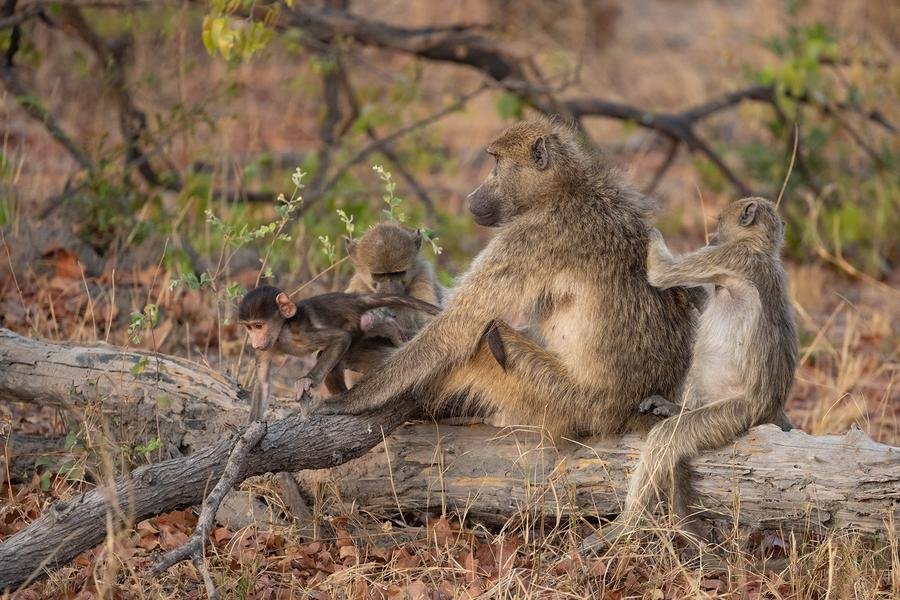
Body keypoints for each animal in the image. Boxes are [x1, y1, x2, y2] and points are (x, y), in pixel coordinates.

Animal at [238, 285, 441, 421]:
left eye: (259, 326)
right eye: (249, 328)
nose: (255, 342)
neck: (281, 332)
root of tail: (352, 299)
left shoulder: (300, 333)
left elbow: (341, 338)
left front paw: (306, 381)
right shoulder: (266, 349)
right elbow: (263, 383)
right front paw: (251, 427)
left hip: (353, 321)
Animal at [313, 118, 699, 442]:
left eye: (495, 164)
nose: (471, 197)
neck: (566, 189)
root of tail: (628, 412)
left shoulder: (527, 237)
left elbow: (458, 326)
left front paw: (353, 398)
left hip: (568, 401)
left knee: (486, 341)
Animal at [582, 197, 798, 552]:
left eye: (719, 223)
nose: (711, 238)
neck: (760, 250)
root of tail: (772, 408)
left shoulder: (729, 257)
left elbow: (662, 273)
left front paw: (649, 229)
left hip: (734, 413)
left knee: (665, 439)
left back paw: (625, 526)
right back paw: (675, 409)